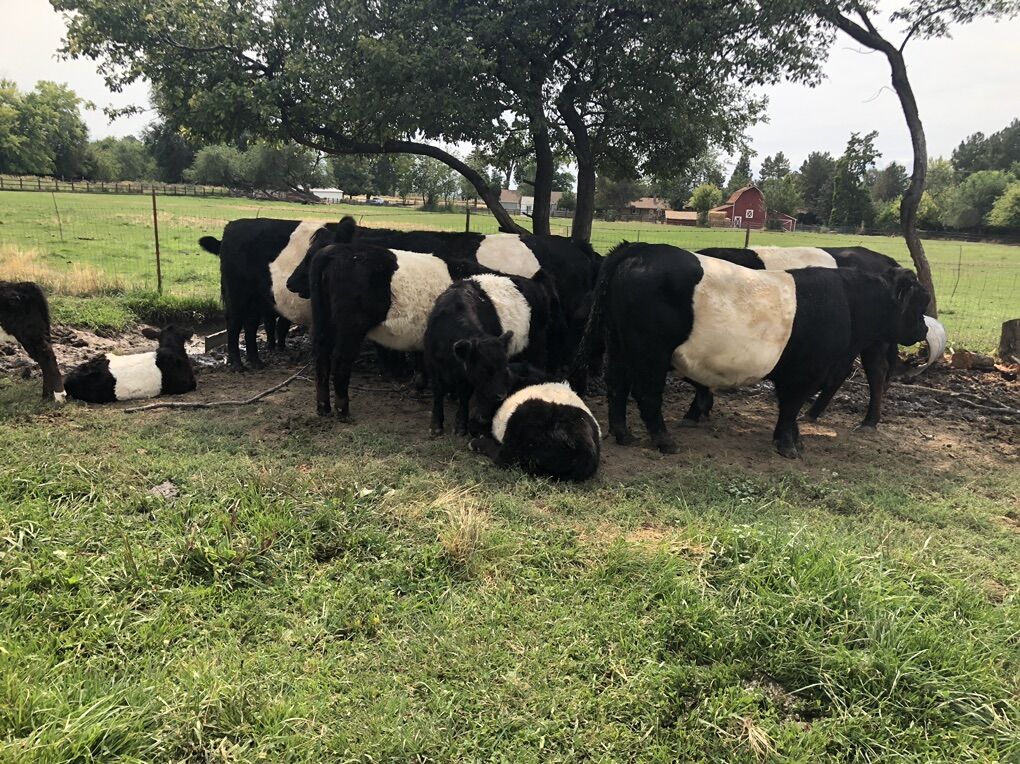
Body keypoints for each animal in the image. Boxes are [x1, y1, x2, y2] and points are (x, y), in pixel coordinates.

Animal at [199, 218, 338, 370]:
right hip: (237, 295)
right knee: (234, 323)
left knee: (250, 325)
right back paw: (237, 364)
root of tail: (233, 224)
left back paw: (255, 361)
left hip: (255, 300)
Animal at [424, 271, 556, 435]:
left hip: (536, 343)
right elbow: (438, 392)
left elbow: (465, 394)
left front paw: (461, 426)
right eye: (483, 369)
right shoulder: (433, 365)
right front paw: (436, 425)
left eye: (504, 368)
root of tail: (534, 282)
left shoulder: (468, 377)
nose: (501, 395)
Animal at [697, 245, 947, 425]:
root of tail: (884, 259)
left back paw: (868, 421)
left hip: (874, 340)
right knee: (845, 371)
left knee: (876, 371)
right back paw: (814, 412)